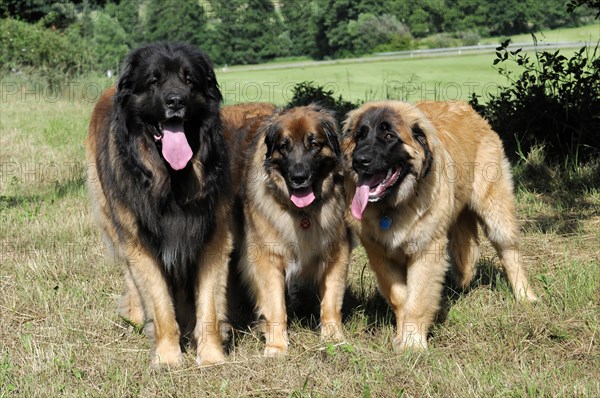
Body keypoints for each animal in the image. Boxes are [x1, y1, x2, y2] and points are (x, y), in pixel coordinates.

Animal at [223, 104, 350, 356]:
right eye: (284, 146)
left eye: (314, 144)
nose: (299, 177)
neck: (303, 212)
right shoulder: (266, 256)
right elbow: (275, 305)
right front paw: (276, 345)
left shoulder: (336, 251)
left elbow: (331, 300)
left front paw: (333, 337)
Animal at [342, 100, 540, 352]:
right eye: (360, 136)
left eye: (388, 136)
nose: (359, 160)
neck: (394, 205)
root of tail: (469, 110)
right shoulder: (380, 254)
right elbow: (400, 297)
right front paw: (402, 335)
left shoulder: (426, 250)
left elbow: (417, 300)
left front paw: (413, 343)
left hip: (496, 212)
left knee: (510, 253)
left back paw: (526, 296)